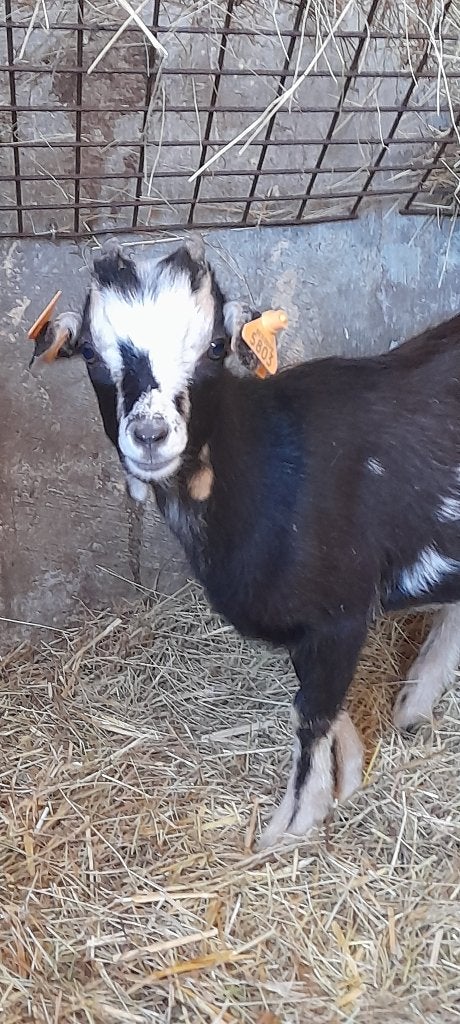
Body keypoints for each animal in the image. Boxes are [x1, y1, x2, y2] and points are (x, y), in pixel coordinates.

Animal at [34, 237, 460, 848]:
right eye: (91, 353)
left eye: (215, 348)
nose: (150, 433)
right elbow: (320, 706)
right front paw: (348, 776)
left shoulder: (342, 614)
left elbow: (311, 713)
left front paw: (290, 827)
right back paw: (414, 702)